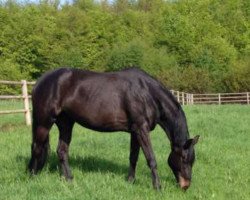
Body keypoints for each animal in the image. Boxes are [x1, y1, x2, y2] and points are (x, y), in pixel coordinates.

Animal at [27, 66, 199, 190]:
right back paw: (33, 177)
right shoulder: (141, 129)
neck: (146, 93)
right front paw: (157, 186)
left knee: (61, 151)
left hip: (66, 124)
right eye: (184, 159)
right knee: (37, 147)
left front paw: (130, 180)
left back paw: (68, 179)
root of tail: (41, 81)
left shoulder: (135, 132)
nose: (185, 186)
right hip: (44, 122)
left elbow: (133, 157)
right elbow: (151, 158)